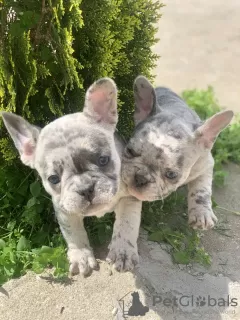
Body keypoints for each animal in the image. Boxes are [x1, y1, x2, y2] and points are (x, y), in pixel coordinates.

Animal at [1, 77, 141, 276]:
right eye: (53, 179)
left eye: (103, 160)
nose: (86, 189)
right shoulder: (64, 208)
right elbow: (74, 233)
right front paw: (81, 255)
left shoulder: (130, 197)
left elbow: (126, 224)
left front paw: (123, 251)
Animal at [121, 75, 233, 230]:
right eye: (129, 151)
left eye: (171, 174)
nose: (140, 178)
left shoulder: (206, 164)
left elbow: (202, 189)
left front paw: (201, 213)